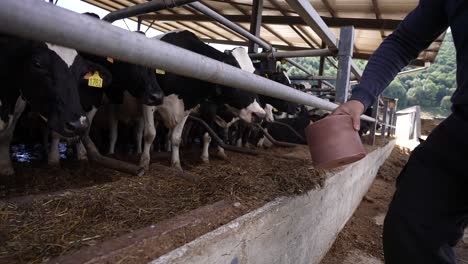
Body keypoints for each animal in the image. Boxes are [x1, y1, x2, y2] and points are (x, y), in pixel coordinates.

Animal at [0, 34, 89, 176]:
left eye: (83, 72)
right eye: (37, 64)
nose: (79, 125)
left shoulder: (18, 105)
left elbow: (6, 135)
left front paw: (5, 167)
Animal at [152, 29, 266, 169]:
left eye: (256, 79)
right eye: (236, 77)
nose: (260, 115)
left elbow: (221, 134)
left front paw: (221, 153)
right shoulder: (208, 109)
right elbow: (207, 135)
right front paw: (205, 157)